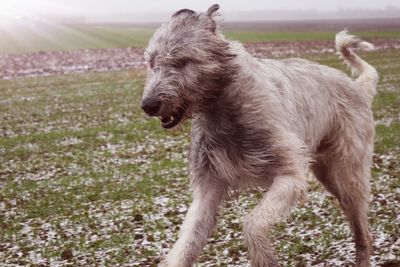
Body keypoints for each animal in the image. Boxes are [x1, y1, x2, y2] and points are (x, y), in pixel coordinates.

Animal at [141, 3, 378, 266]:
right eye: (151, 62)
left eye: (182, 61)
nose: (148, 105)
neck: (224, 110)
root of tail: (358, 88)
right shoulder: (208, 187)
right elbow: (188, 241)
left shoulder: (290, 176)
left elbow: (253, 223)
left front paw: (263, 257)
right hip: (329, 173)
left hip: (350, 173)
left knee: (364, 232)